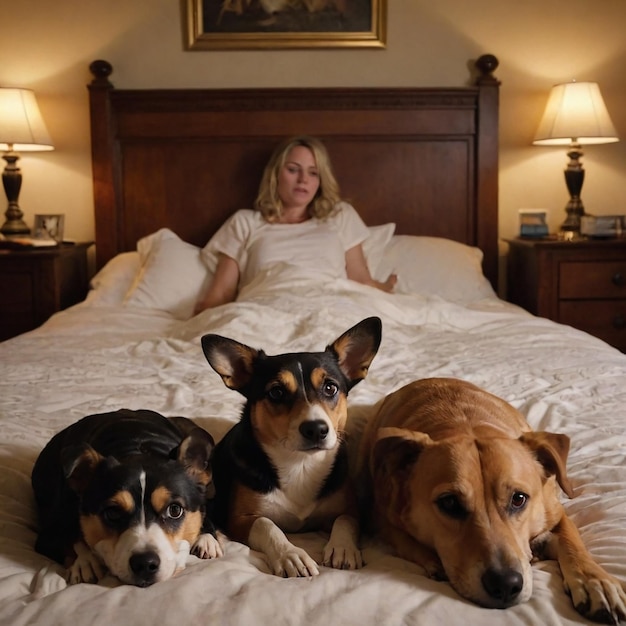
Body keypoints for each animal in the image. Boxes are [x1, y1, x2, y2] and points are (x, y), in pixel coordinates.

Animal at [33, 410, 222, 584]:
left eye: (175, 510)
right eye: (113, 512)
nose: (145, 564)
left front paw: (206, 539)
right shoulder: (48, 535)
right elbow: (71, 540)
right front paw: (84, 561)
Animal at [202, 316, 382, 576]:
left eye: (330, 388)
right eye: (276, 392)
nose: (316, 429)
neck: (300, 463)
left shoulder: (350, 510)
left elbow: (344, 521)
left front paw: (343, 548)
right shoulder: (240, 519)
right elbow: (267, 525)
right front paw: (291, 555)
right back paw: (208, 541)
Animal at [356, 376, 624, 620]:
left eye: (519, 499)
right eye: (449, 503)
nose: (506, 585)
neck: (465, 424)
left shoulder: (555, 511)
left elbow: (572, 540)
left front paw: (595, 580)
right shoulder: (380, 517)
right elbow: (405, 540)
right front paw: (434, 562)